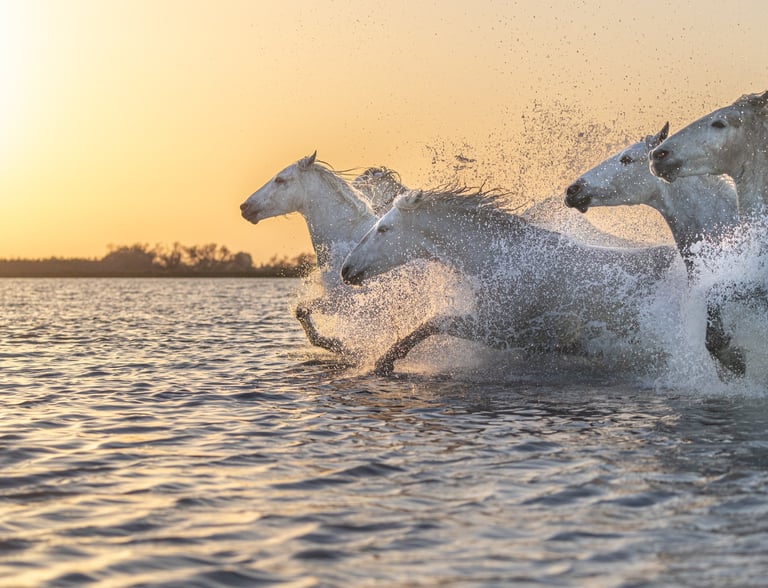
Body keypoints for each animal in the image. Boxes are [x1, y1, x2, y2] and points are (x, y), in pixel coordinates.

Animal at [240, 152, 405, 352]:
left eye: (280, 179)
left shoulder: (348, 302)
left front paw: (339, 345)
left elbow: (302, 310)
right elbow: (301, 312)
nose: (244, 207)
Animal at [341, 188, 680, 375]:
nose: (346, 270)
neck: (500, 261)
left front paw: (385, 361)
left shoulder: (500, 330)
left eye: (383, 229)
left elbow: (434, 322)